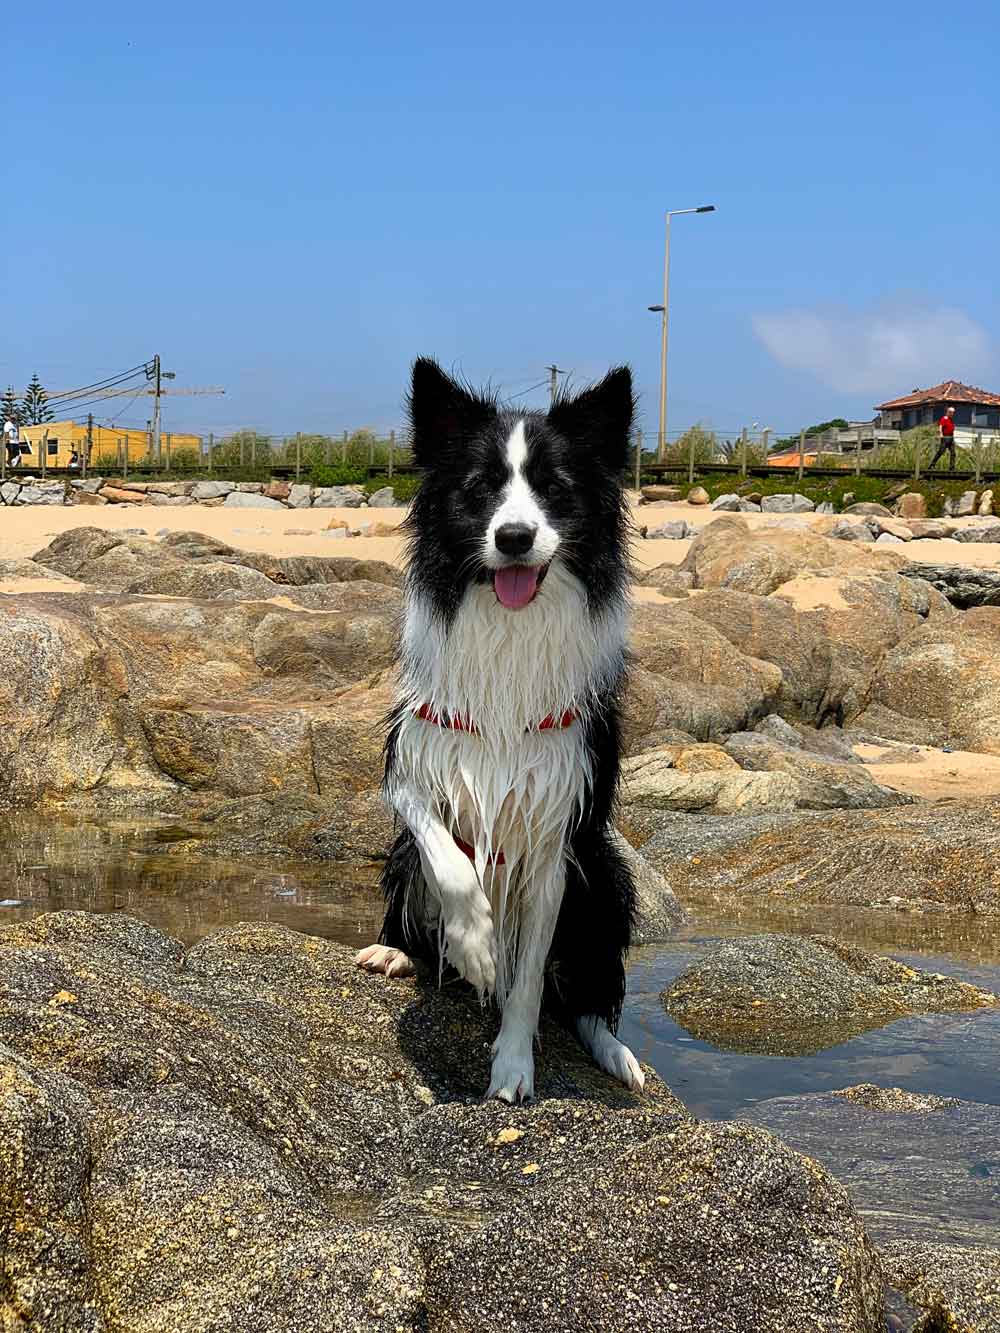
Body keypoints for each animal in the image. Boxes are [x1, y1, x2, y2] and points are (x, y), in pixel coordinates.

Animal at [357, 357, 645, 1103]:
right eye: (481, 487)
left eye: (555, 488)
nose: (514, 537)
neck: (510, 631)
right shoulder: (413, 758)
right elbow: (448, 859)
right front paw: (475, 946)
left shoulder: (556, 828)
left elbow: (530, 979)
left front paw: (513, 1065)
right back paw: (396, 950)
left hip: (606, 876)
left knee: (586, 995)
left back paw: (615, 1052)